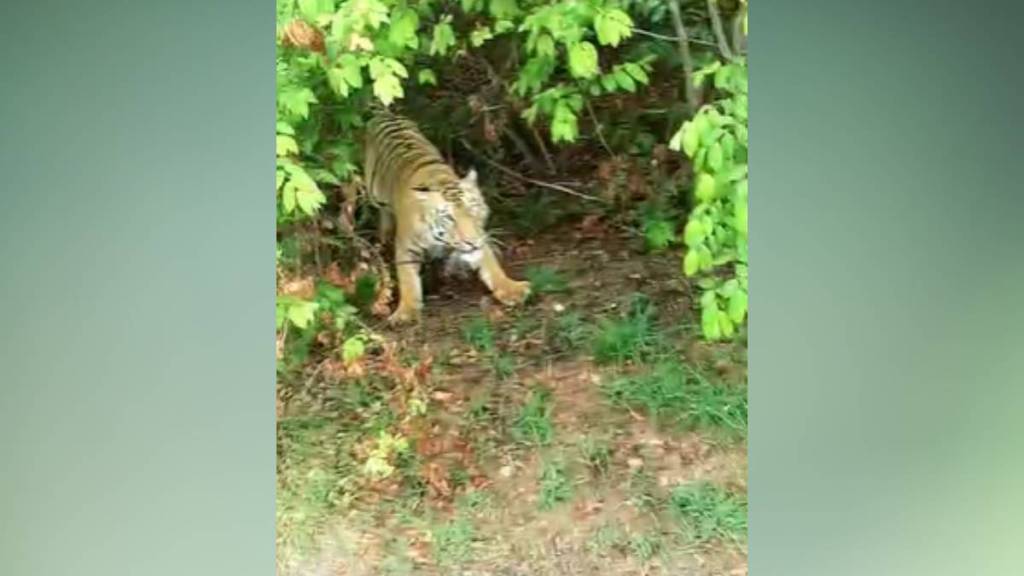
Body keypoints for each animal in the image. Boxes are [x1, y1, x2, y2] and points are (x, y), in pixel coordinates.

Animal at [363, 108, 531, 324]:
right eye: (449, 218)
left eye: (473, 210)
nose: (471, 242)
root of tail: (385, 113)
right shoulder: (405, 247)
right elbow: (407, 278)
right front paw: (405, 312)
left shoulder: (481, 236)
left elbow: (491, 265)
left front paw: (511, 289)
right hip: (374, 195)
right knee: (383, 215)